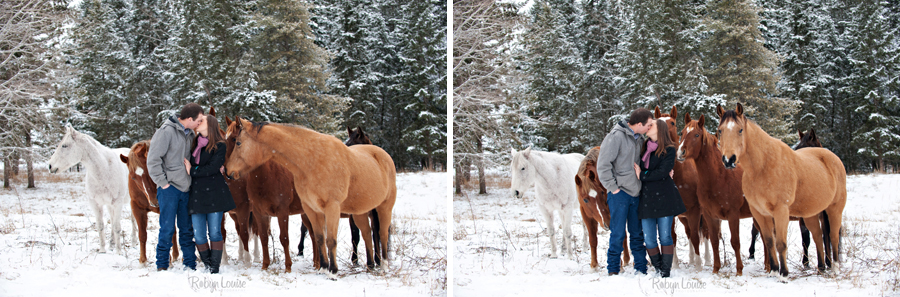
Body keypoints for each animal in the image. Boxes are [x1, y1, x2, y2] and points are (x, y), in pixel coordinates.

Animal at [48, 123, 134, 252]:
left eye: (64, 145)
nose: (50, 166)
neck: (104, 169)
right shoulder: (95, 203)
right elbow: (101, 226)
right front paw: (103, 250)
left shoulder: (117, 203)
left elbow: (117, 227)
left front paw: (119, 252)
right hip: (109, 205)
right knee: (112, 218)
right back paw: (112, 244)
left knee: (134, 220)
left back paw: (134, 242)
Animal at [223, 116, 396, 272]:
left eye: (237, 142)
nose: (226, 171)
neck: (311, 160)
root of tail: (383, 154)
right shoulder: (307, 209)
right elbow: (318, 238)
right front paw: (323, 268)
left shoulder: (327, 208)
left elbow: (328, 240)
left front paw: (331, 271)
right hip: (359, 212)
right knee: (366, 234)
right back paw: (370, 265)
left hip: (383, 208)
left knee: (381, 233)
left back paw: (383, 265)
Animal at [676, 113, 752, 276]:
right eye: (682, 133)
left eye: (696, 135)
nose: (680, 153)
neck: (719, 178)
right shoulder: (710, 216)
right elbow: (714, 241)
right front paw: (716, 268)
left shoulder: (733, 215)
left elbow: (735, 242)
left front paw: (739, 270)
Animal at [716, 103, 844, 276]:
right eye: (720, 130)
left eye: (740, 130)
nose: (729, 160)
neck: (763, 166)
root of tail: (832, 157)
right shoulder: (760, 213)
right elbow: (769, 241)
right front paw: (774, 271)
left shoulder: (781, 211)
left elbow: (781, 243)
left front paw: (783, 273)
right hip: (810, 213)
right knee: (817, 236)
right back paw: (822, 268)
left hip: (834, 209)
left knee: (833, 235)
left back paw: (835, 267)